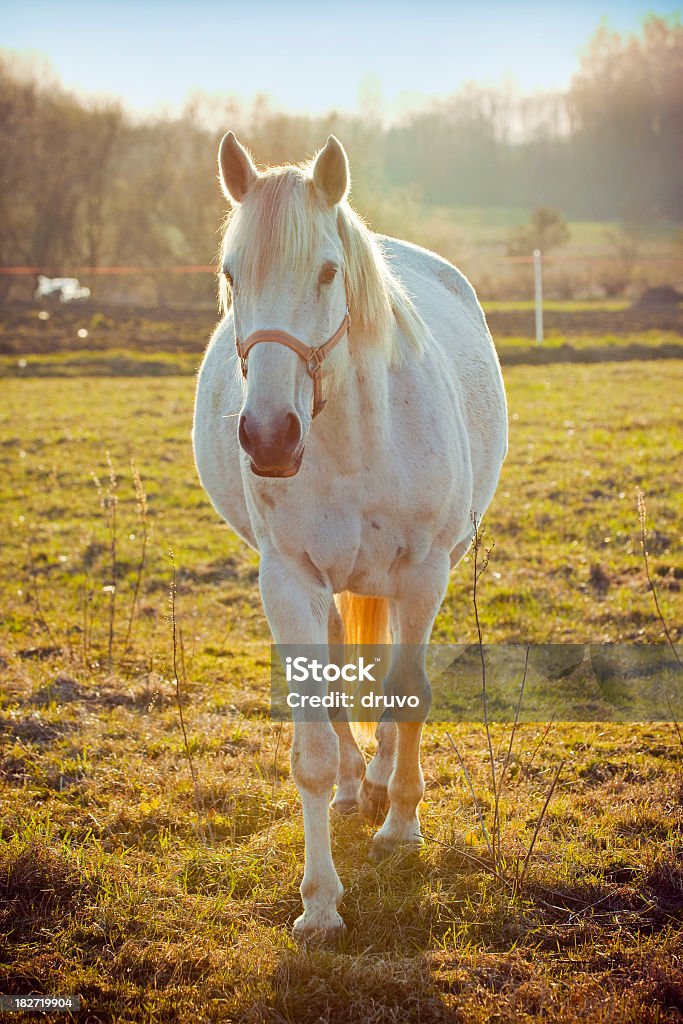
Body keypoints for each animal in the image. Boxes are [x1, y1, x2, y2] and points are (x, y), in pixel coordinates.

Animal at [193, 136, 507, 942]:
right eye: (231, 275)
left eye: (328, 272)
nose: (268, 437)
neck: (355, 437)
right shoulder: (289, 582)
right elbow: (307, 745)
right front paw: (319, 903)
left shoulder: (424, 572)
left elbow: (408, 694)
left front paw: (400, 827)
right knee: (337, 671)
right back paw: (349, 784)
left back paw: (382, 785)